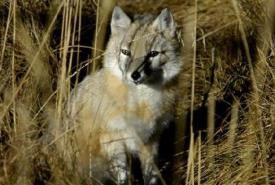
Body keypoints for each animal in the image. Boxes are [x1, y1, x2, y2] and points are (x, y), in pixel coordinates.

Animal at [65, 6, 183, 185]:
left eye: (153, 54)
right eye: (126, 52)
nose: (134, 75)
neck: (140, 104)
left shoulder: (150, 142)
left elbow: (151, 176)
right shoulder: (113, 141)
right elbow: (123, 176)